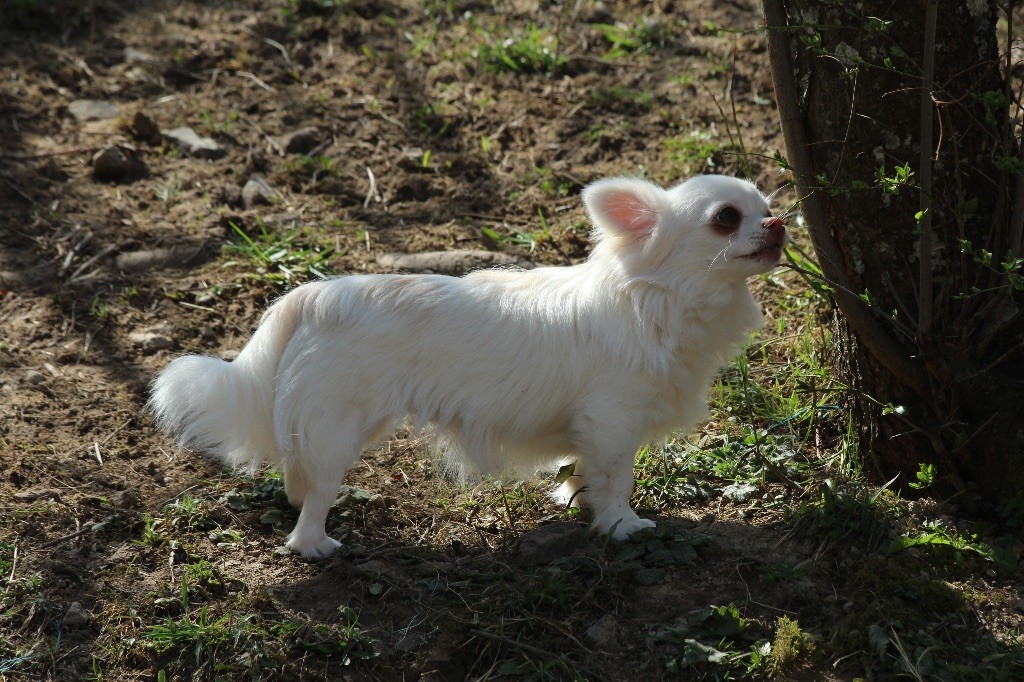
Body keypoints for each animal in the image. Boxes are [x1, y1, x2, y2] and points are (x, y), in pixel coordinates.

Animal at [149, 173, 782, 557]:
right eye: (727, 218)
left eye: (768, 209)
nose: (779, 224)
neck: (658, 300)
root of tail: (316, 295)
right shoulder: (613, 422)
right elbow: (617, 479)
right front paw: (621, 527)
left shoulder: (592, 431)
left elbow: (583, 472)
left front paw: (575, 501)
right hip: (338, 427)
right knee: (313, 496)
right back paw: (317, 546)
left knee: (296, 479)